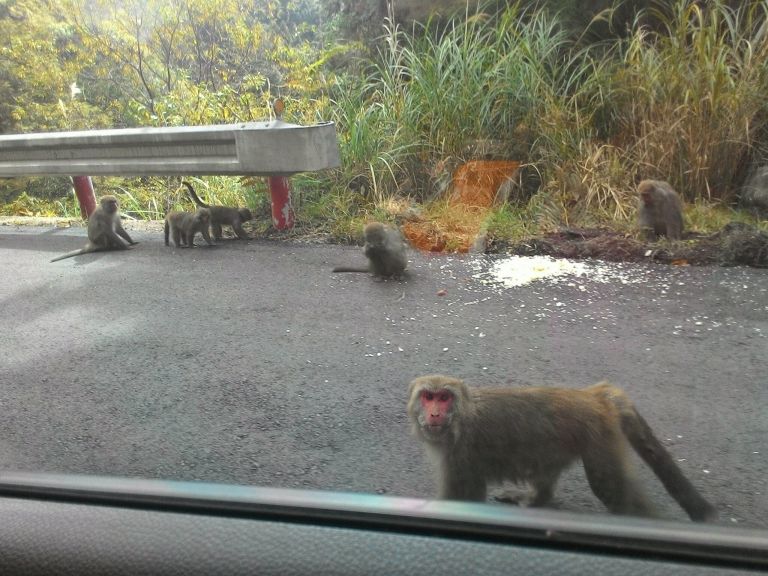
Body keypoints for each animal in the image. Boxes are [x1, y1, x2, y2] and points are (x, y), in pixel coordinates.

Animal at [412, 374, 716, 520]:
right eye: (428, 397)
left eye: (444, 398)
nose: (434, 413)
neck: (461, 419)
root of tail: (594, 396)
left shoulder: (462, 455)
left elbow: (465, 498)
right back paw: (538, 498)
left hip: (600, 437)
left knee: (609, 488)